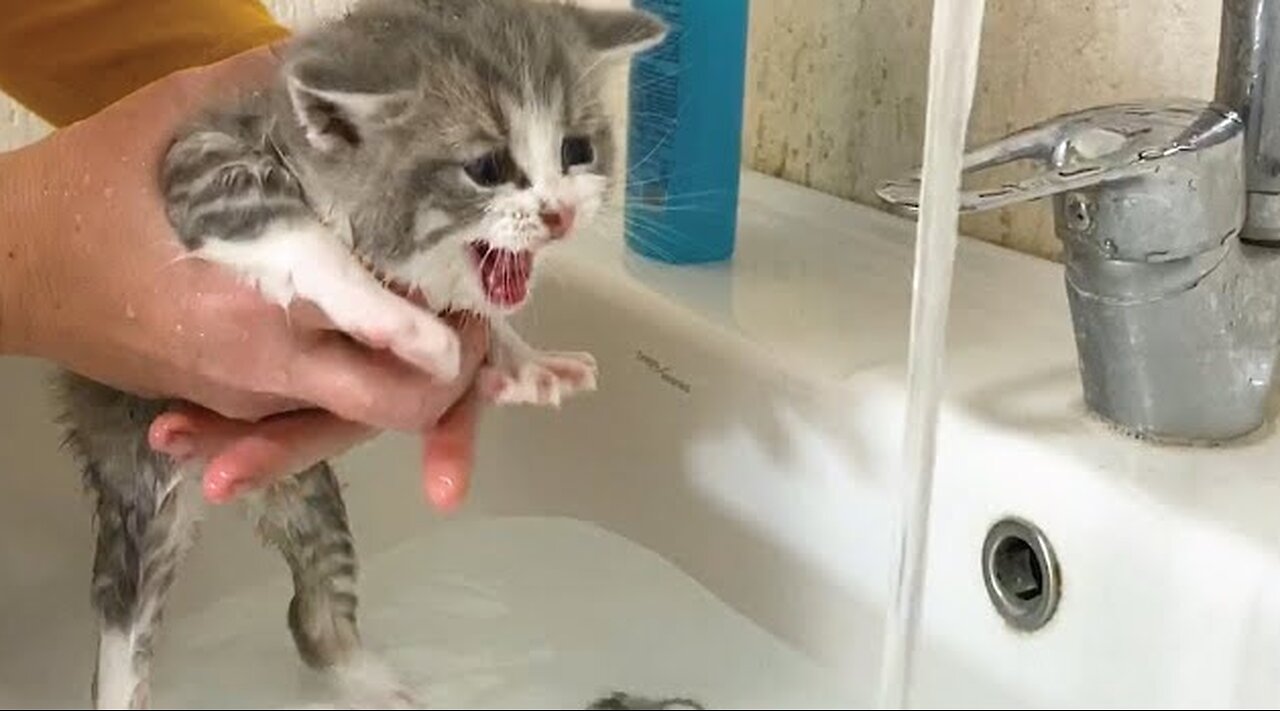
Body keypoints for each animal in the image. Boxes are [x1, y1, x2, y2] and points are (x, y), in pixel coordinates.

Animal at [55, 2, 665, 707]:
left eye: (577, 151)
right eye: (486, 167)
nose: (560, 213)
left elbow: (482, 310)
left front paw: (525, 361)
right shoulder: (200, 162)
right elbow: (296, 235)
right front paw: (406, 324)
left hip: (310, 489)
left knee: (313, 615)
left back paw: (372, 679)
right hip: (138, 466)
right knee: (125, 607)